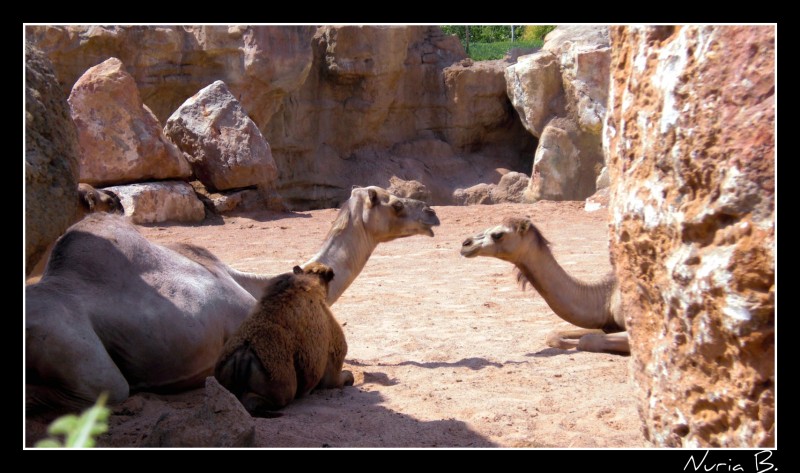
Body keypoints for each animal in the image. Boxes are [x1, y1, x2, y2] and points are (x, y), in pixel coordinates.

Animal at [460, 218, 628, 354]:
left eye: (497, 234)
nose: (465, 244)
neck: (606, 295)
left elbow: (587, 340)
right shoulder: (607, 325)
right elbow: (554, 335)